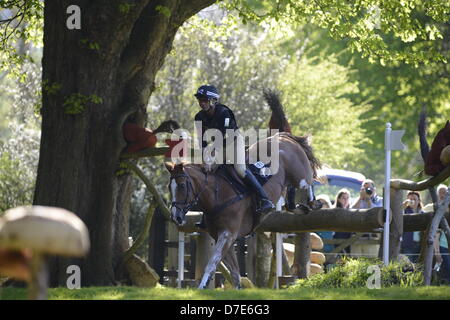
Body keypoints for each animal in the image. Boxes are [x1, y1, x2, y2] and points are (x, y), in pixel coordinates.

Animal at [164, 131, 320, 290]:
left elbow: (212, 264)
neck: (218, 194)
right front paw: (237, 289)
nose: (175, 216)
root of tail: (283, 137)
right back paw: (301, 208)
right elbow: (234, 272)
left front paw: (201, 287)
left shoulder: (227, 235)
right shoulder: (223, 237)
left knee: (309, 181)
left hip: (299, 174)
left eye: (182, 185)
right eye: (169, 187)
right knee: (291, 203)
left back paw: (313, 203)